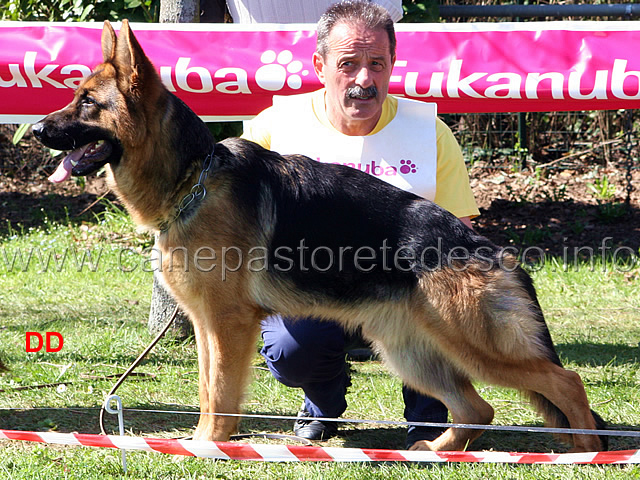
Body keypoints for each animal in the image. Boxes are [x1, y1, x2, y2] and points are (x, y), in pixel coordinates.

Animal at [33, 20, 604, 452]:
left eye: (87, 104)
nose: (36, 131)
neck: (194, 179)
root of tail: (493, 252)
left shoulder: (227, 324)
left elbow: (220, 394)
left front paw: (209, 446)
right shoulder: (205, 325)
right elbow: (206, 390)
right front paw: (199, 442)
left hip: (474, 346)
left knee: (564, 381)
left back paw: (589, 452)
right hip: (411, 351)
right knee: (478, 407)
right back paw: (439, 449)